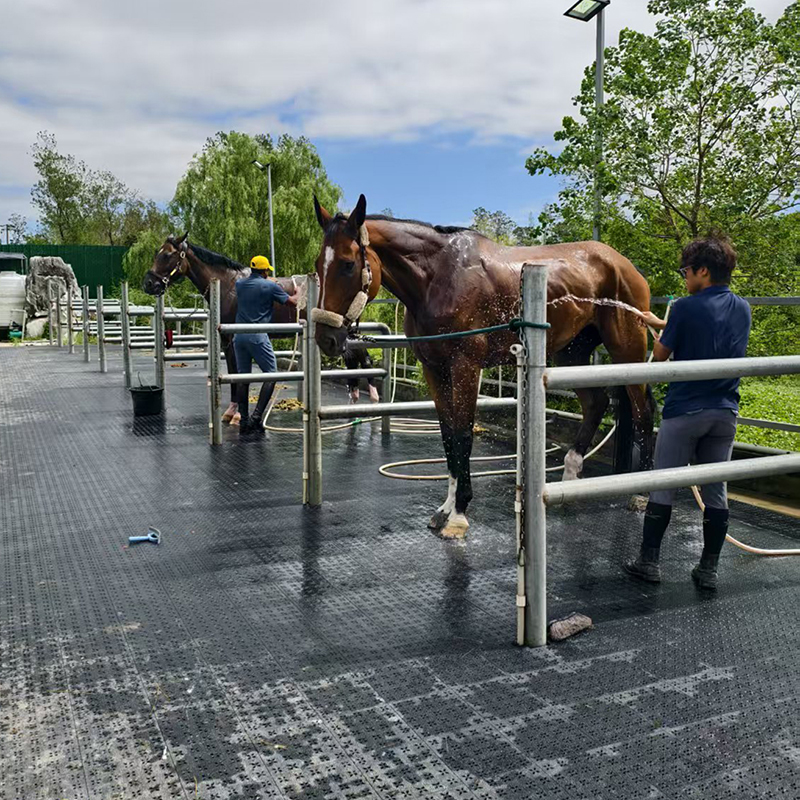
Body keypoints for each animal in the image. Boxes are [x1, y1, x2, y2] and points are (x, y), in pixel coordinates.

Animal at [311, 195, 656, 539]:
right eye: (318, 266)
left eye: (348, 264)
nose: (326, 338)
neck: (437, 278)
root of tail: (624, 264)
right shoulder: (434, 369)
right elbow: (448, 434)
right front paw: (445, 508)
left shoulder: (466, 366)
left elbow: (463, 434)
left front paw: (459, 514)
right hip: (571, 352)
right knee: (596, 403)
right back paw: (569, 480)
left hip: (627, 348)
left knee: (643, 410)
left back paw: (643, 491)